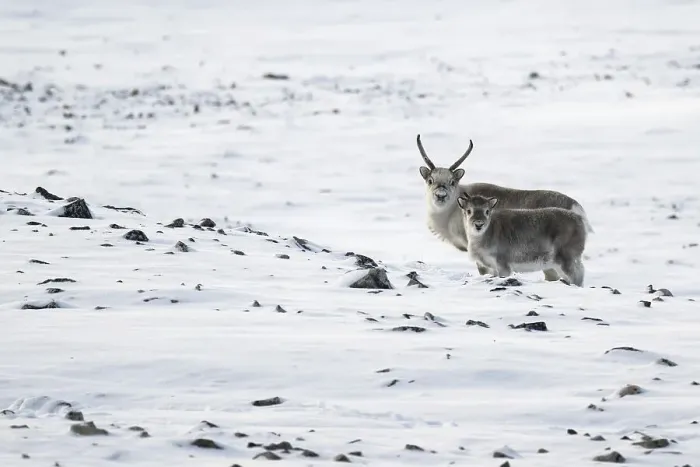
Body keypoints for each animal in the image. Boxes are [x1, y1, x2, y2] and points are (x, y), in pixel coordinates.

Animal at [457, 193, 587, 286]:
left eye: (487, 211)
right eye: (469, 211)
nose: (479, 224)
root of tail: (579, 220)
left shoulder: (503, 264)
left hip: (565, 257)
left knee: (577, 274)